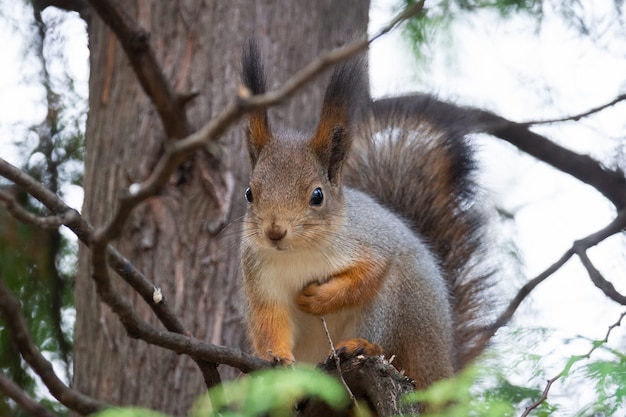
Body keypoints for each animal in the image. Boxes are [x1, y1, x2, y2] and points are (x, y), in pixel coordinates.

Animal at [236, 42, 490, 390]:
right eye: (249, 193)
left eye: (318, 195)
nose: (275, 232)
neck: (298, 253)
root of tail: (443, 370)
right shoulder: (260, 278)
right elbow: (270, 321)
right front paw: (276, 357)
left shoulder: (370, 243)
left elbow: (367, 274)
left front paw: (318, 298)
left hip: (399, 304)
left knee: (386, 338)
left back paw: (362, 346)